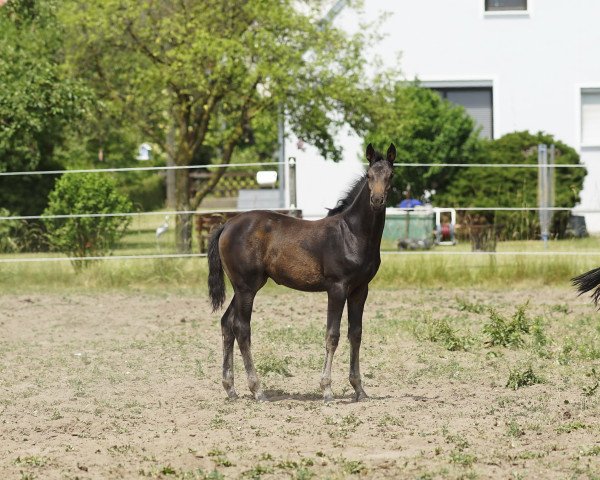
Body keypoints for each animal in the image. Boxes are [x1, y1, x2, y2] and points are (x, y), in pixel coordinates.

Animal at [209, 143, 396, 402]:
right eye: (368, 176)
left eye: (391, 175)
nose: (377, 200)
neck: (352, 233)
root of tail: (226, 225)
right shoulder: (337, 287)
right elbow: (332, 335)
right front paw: (326, 390)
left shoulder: (360, 289)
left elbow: (356, 334)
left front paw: (359, 390)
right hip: (246, 288)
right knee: (241, 328)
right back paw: (258, 390)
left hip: (241, 287)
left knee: (227, 324)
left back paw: (231, 389)